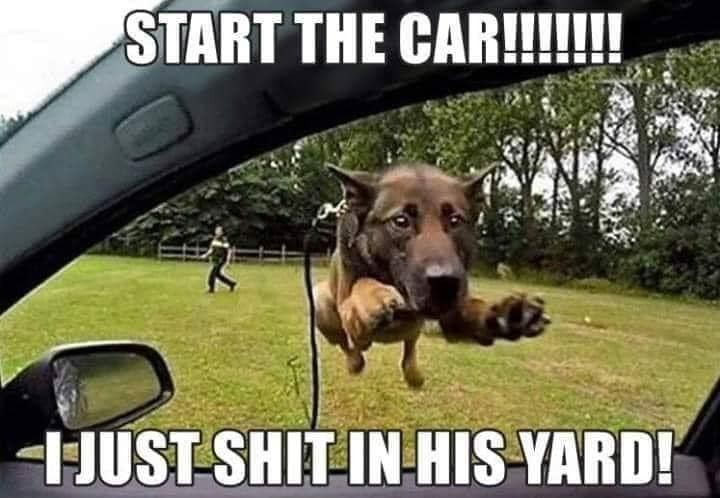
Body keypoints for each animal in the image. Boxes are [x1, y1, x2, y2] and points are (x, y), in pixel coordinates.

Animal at [313, 162, 550, 388]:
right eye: (400, 221)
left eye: (455, 220)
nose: (445, 283)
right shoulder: (351, 318)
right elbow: (362, 284)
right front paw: (374, 297)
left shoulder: (451, 316)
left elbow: (473, 309)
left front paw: (506, 314)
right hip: (320, 304)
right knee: (349, 347)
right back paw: (355, 362)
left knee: (410, 347)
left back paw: (413, 373)